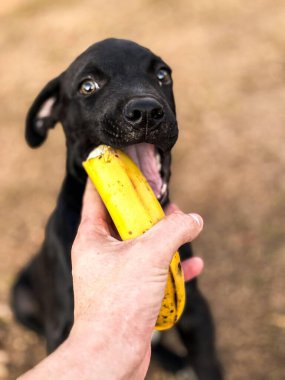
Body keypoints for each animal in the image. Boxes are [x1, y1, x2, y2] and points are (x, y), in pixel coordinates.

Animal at [12, 38, 222, 380]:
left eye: (162, 75)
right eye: (87, 86)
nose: (146, 111)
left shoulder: (196, 310)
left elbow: (208, 364)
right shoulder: (63, 329)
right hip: (19, 299)